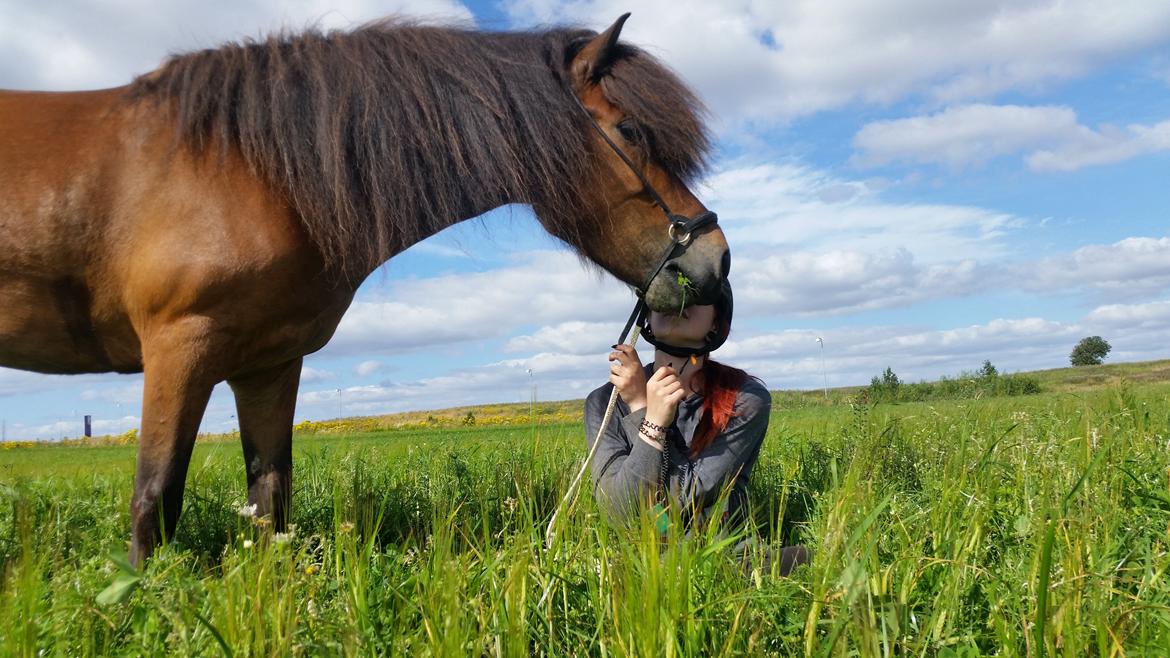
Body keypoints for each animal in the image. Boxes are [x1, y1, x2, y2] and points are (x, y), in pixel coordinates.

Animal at [0, 14, 725, 557]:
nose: (716, 262)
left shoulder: (267, 365)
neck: (255, 170)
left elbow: (270, 502)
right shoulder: (179, 348)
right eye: (630, 130)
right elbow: (154, 501)